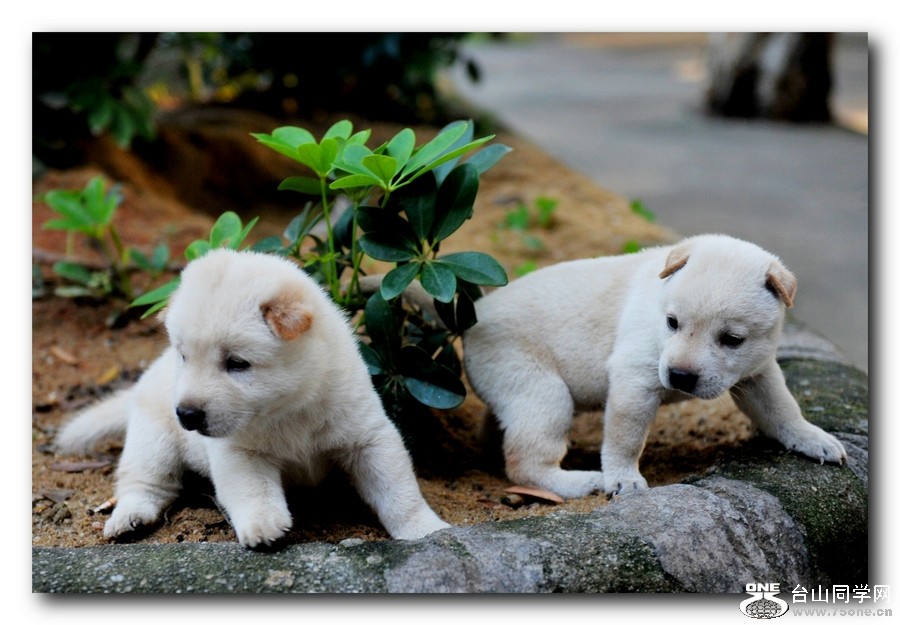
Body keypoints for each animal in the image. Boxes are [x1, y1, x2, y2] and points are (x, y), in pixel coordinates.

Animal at [55, 249, 449, 548]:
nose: (187, 414)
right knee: (144, 482)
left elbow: (399, 491)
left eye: (237, 363)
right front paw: (264, 526)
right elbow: (252, 490)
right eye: (184, 356)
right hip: (153, 439)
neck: (289, 410)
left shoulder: (367, 437)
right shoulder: (238, 453)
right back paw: (128, 518)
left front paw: (426, 529)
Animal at [462, 234, 847, 499]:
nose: (680, 377)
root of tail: (475, 317)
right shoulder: (635, 381)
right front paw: (623, 479)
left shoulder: (758, 373)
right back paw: (581, 482)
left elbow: (783, 409)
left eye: (732, 339)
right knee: (526, 462)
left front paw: (812, 438)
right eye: (672, 322)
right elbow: (625, 438)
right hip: (543, 393)